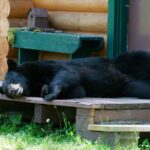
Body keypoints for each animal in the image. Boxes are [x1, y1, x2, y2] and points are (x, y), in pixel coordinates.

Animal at [2, 50, 150, 101]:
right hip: (129, 87)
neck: (32, 82)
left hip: (124, 62)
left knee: (139, 57)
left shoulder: (42, 66)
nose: (12, 91)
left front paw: (50, 93)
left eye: (13, 79)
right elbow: (77, 91)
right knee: (142, 89)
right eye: (5, 91)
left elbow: (65, 73)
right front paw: (45, 90)